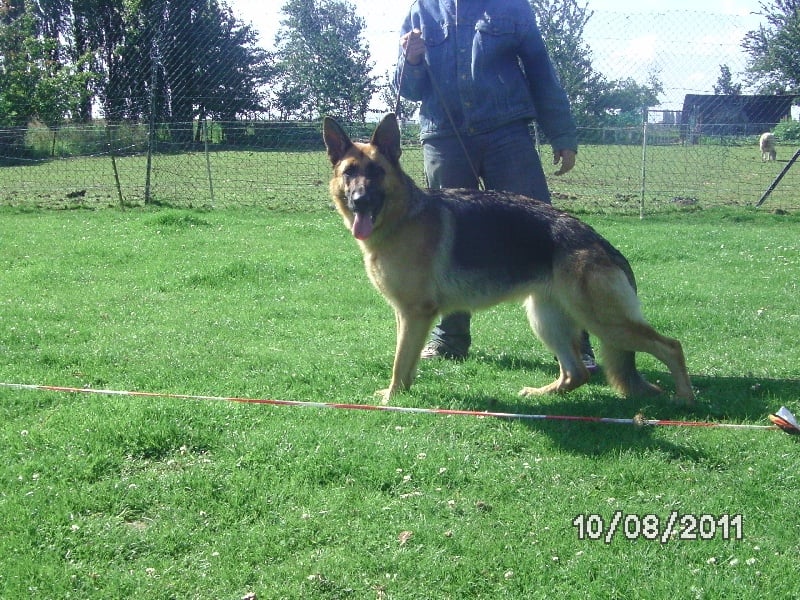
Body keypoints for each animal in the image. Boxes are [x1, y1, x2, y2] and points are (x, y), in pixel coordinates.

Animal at [324, 115, 692, 406]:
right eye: (349, 172)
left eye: (376, 171)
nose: (360, 201)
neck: (401, 217)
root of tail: (603, 244)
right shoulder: (406, 316)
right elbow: (407, 360)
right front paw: (400, 393)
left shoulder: (416, 313)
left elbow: (400, 362)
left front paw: (392, 397)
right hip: (546, 319)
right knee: (575, 374)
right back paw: (542, 394)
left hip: (604, 322)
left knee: (672, 346)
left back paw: (685, 399)